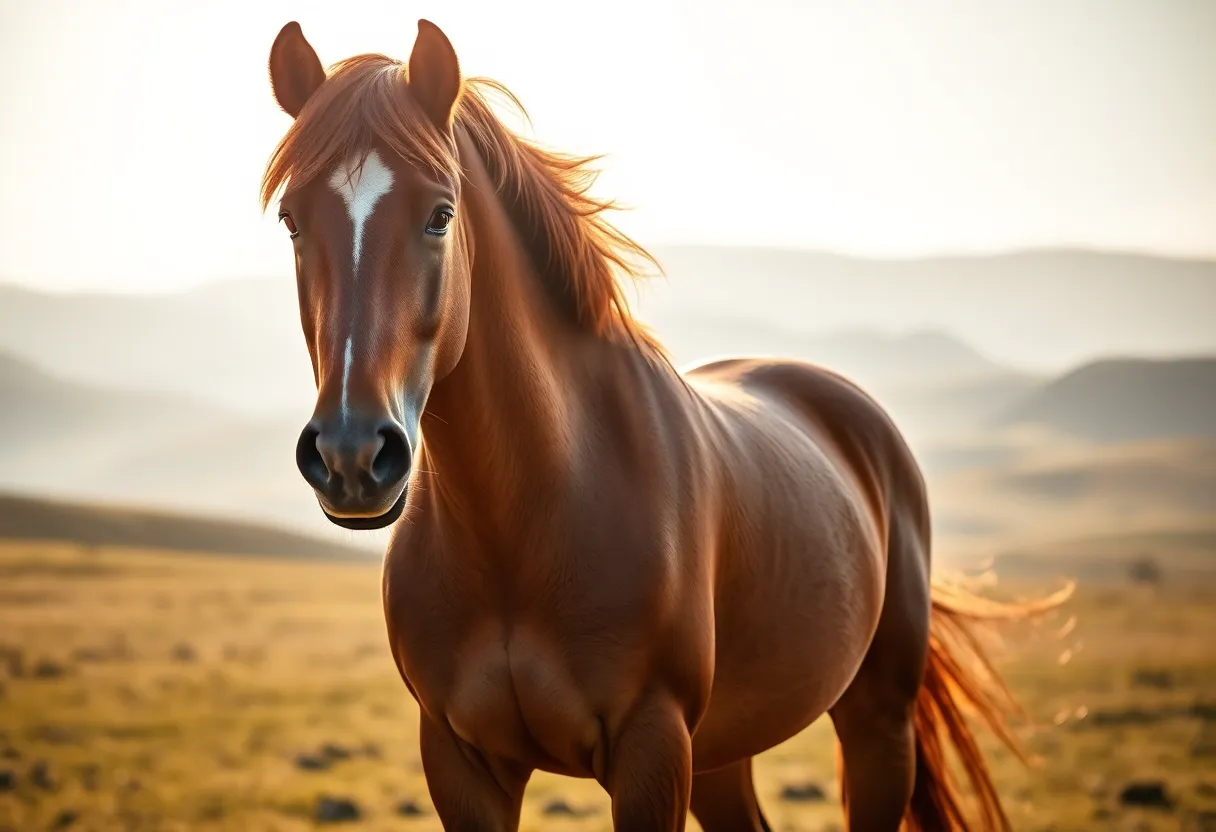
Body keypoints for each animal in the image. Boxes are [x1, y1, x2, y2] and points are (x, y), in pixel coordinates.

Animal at [261, 19, 1068, 831]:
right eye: (292, 220)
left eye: (440, 215)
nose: (352, 454)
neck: (528, 521)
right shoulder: (462, 762)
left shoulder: (652, 749)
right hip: (723, 751)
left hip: (877, 724)